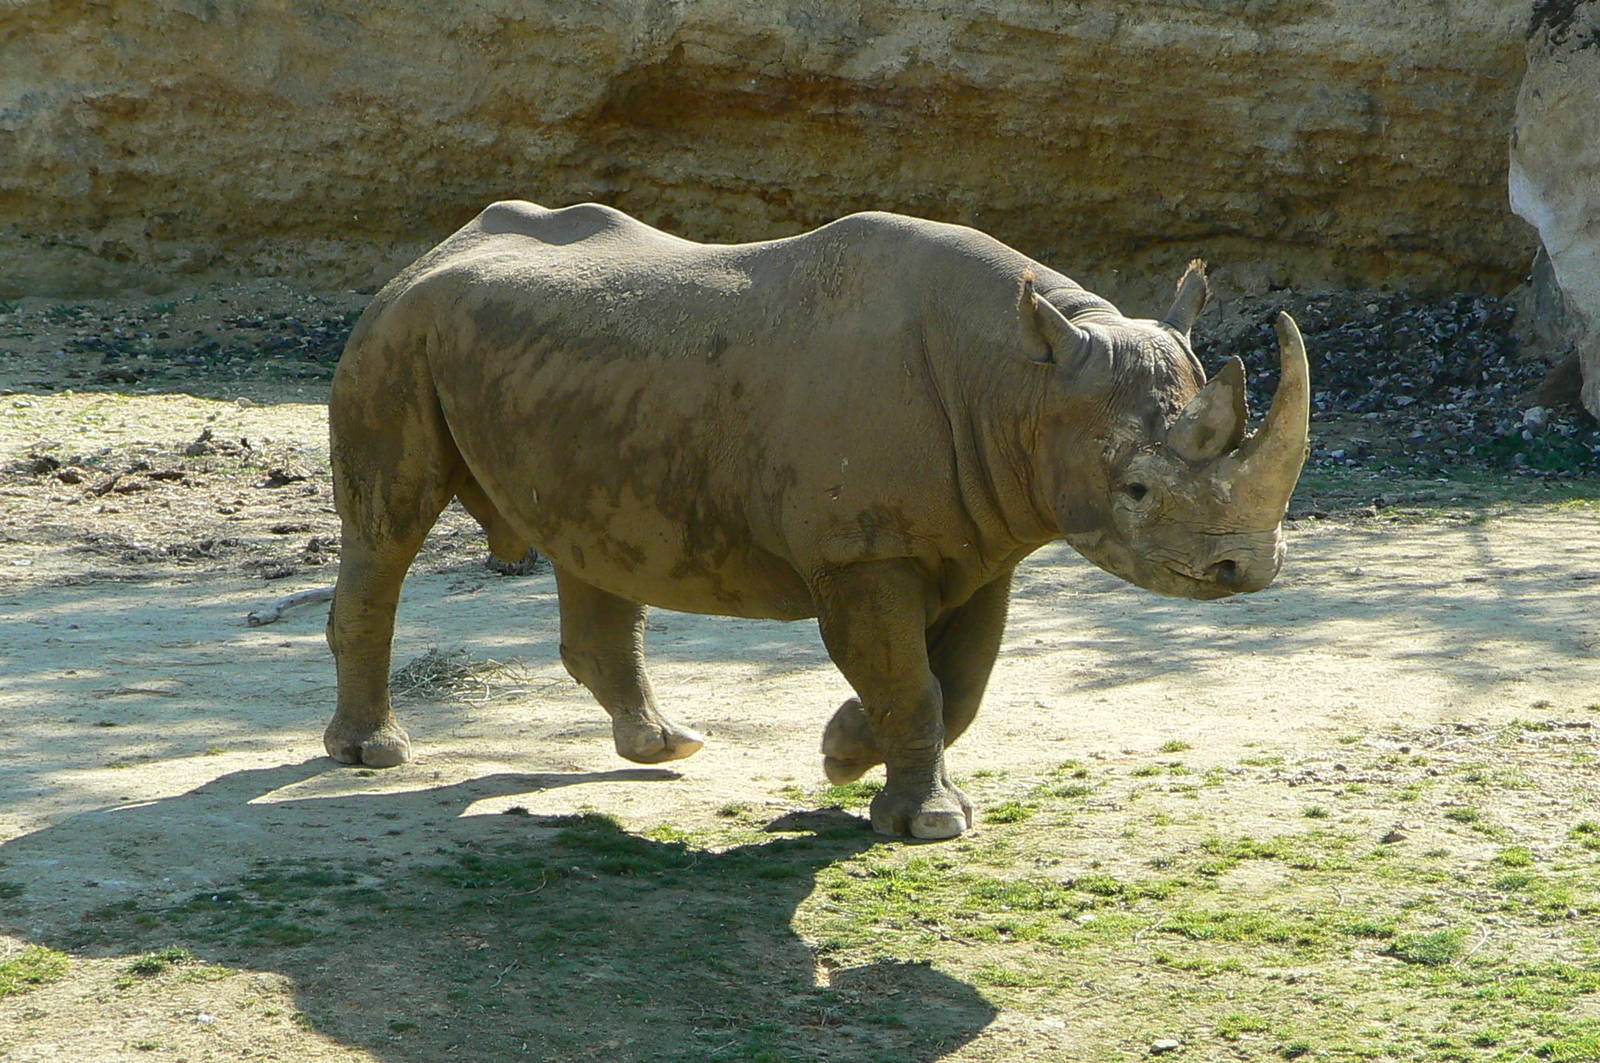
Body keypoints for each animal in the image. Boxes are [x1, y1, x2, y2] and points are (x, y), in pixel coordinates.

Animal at [323, 201, 1309, 839]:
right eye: (1136, 492)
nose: (1244, 570)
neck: (1022, 383)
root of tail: (430, 252)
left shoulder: (982, 540)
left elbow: (960, 685)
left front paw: (843, 753)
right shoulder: (860, 552)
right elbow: (914, 681)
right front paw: (927, 821)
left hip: (548, 369)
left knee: (590, 536)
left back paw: (661, 745)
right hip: (395, 334)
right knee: (388, 529)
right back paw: (374, 754)